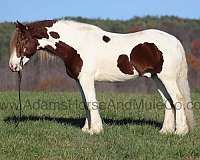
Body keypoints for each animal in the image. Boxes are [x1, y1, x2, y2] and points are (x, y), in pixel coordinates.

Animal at [9, 20, 194, 135]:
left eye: (22, 41)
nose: (12, 66)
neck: (77, 45)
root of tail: (175, 41)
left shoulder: (86, 79)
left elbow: (92, 103)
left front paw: (96, 130)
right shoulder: (79, 81)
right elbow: (86, 103)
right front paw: (86, 129)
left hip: (167, 78)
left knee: (178, 99)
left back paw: (180, 132)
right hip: (156, 78)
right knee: (168, 101)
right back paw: (165, 131)